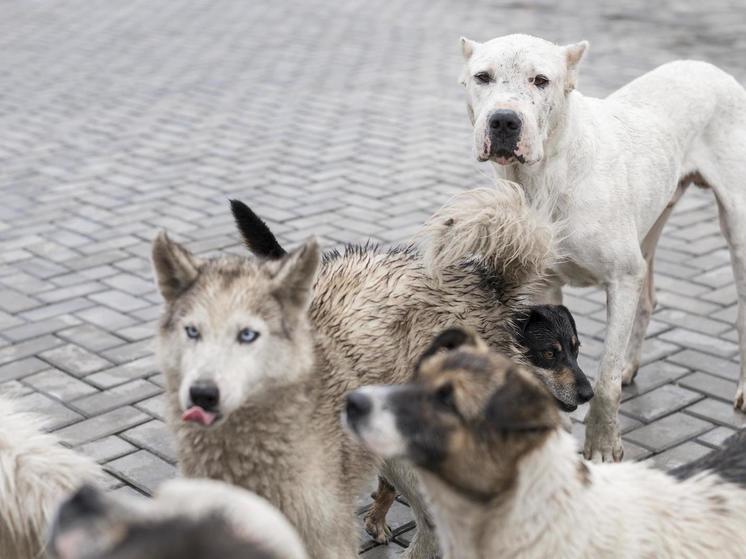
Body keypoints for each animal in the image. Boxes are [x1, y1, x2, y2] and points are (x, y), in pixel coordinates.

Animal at [456, 31, 744, 464]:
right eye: (482, 77)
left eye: (541, 80)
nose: (504, 120)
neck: (546, 176)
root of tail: (711, 68)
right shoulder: (545, 286)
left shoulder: (622, 278)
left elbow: (605, 379)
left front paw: (603, 445)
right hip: (651, 223)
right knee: (647, 299)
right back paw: (631, 364)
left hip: (736, 229)